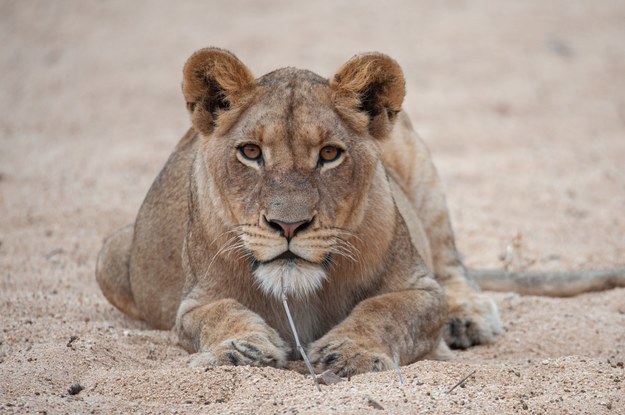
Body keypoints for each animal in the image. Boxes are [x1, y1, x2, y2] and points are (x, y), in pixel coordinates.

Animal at [97, 47, 520, 376]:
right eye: (250, 152)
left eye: (329, 154)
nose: (288, 225)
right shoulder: (193, 303)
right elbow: (217, 313)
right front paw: (241, 349)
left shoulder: (422, 291)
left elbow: (385, 309)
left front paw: (349, 352)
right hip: (110, 256)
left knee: (452, 264)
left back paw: (466, 319)